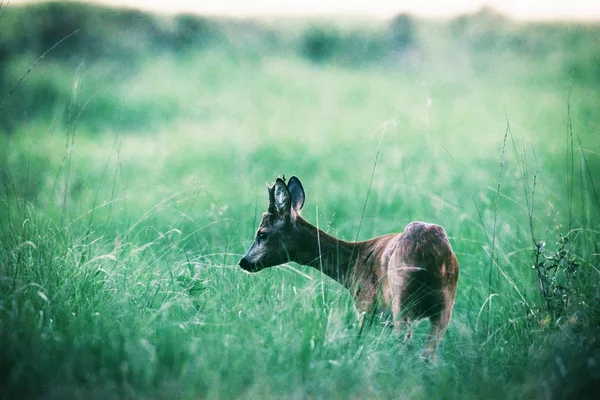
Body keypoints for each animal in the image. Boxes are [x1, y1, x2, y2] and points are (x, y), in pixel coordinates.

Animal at [239, 177, 460, 358]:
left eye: (262, 234)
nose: (244, 261)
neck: (352, 265)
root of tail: (434, 252)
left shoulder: (367, 307)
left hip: (402, 301)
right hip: (444, 306)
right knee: (428, 354)